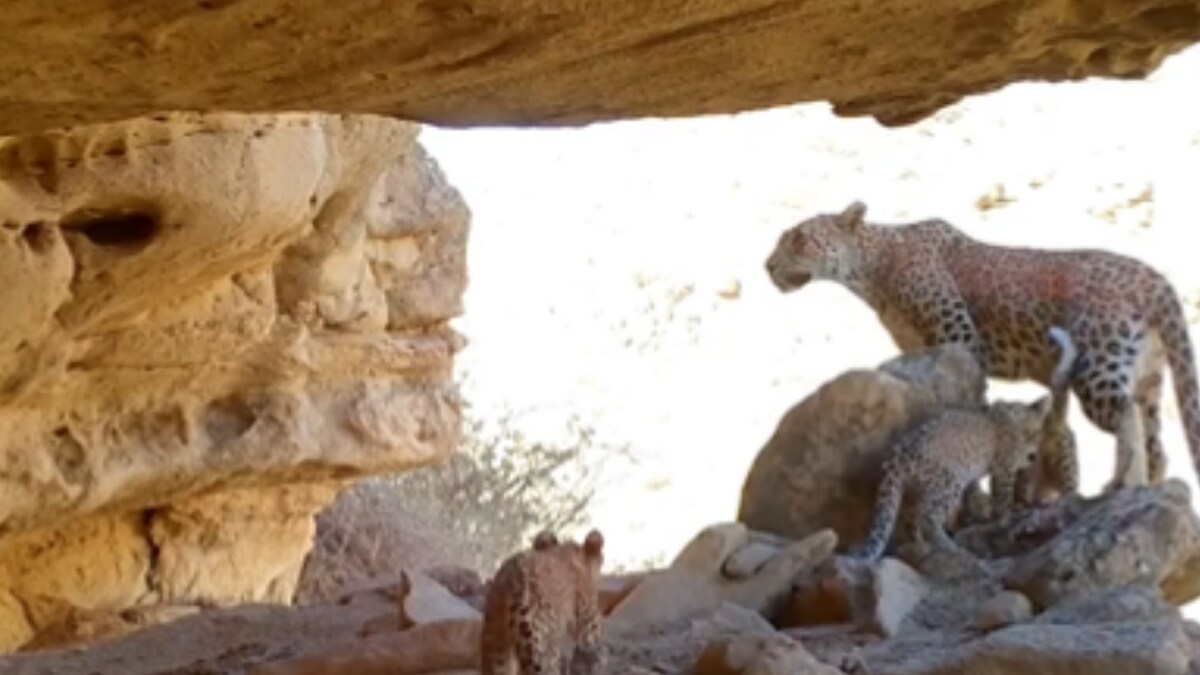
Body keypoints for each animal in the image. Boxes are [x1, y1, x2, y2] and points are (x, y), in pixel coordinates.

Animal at [765, 200, 1200, 493]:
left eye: (799, 239)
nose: (767, 267)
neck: (872, 271)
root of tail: (1154, 277)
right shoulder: (921, 347)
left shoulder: (959, 336)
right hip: (1147, 374)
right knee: (1156, 439)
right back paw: (1152, 489)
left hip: (1099, 363)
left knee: (1127, 415)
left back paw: (1125, 484)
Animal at [854, 395, 1053, 562]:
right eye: (1024, 434)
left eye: (1036, 433)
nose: (1032, 457)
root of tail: (899, 455)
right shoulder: (1004, 469)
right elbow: (1003, 498)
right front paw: (1006, 519)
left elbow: (976, 494)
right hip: (950, 480)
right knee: (928, 517)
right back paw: (951, 548)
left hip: (920, 488)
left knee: (912, 518)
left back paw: (919, 546)